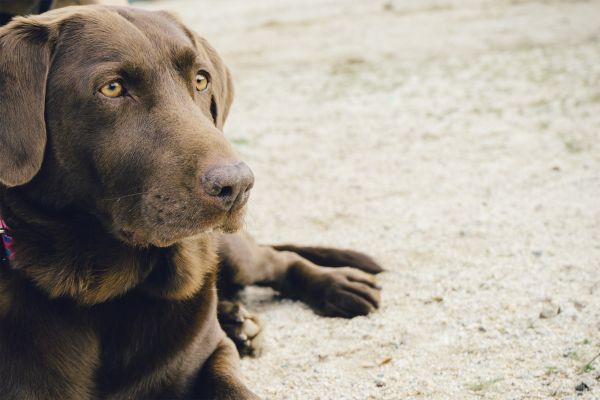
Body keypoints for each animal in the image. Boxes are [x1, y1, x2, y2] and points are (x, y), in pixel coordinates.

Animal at [0, 3, 382, 400]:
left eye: (201, 80)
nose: (237, 185)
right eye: (112, 87)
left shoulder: (210, 355)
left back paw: (336, 285)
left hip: (232, 252)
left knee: (276, 259)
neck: (105, 293)